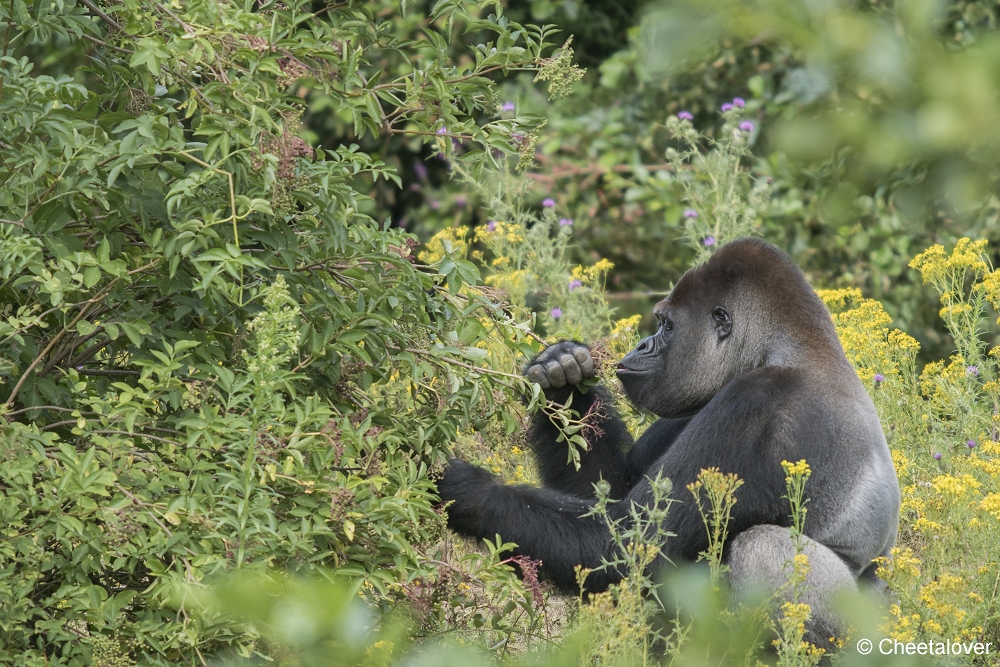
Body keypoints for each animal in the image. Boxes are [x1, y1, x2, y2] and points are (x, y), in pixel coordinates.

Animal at [438, 237, 900, 644]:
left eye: (666, 326)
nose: (641, 344)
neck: (792, 348)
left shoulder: (755, 403)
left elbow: (626, 540)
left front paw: (467, 489)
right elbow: (609, 496)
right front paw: (562, 376)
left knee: (763, 548)